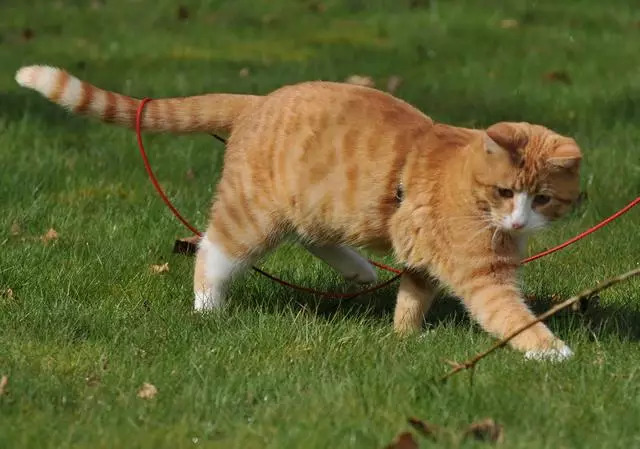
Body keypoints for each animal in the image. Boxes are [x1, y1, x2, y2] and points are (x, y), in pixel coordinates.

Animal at [17, 65, 584, 360]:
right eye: (507, 192)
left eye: (542, 199)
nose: (519, 221)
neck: (465, 182)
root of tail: (257, 100)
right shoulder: (481, 274)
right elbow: (509, 314)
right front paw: (550, 350)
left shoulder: (422, 256)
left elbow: (412, 296)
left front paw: (403, 337)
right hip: (253, 216)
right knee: (212, 251)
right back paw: (208, 307)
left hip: (316, 207)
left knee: (314, 237)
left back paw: (358, 269)